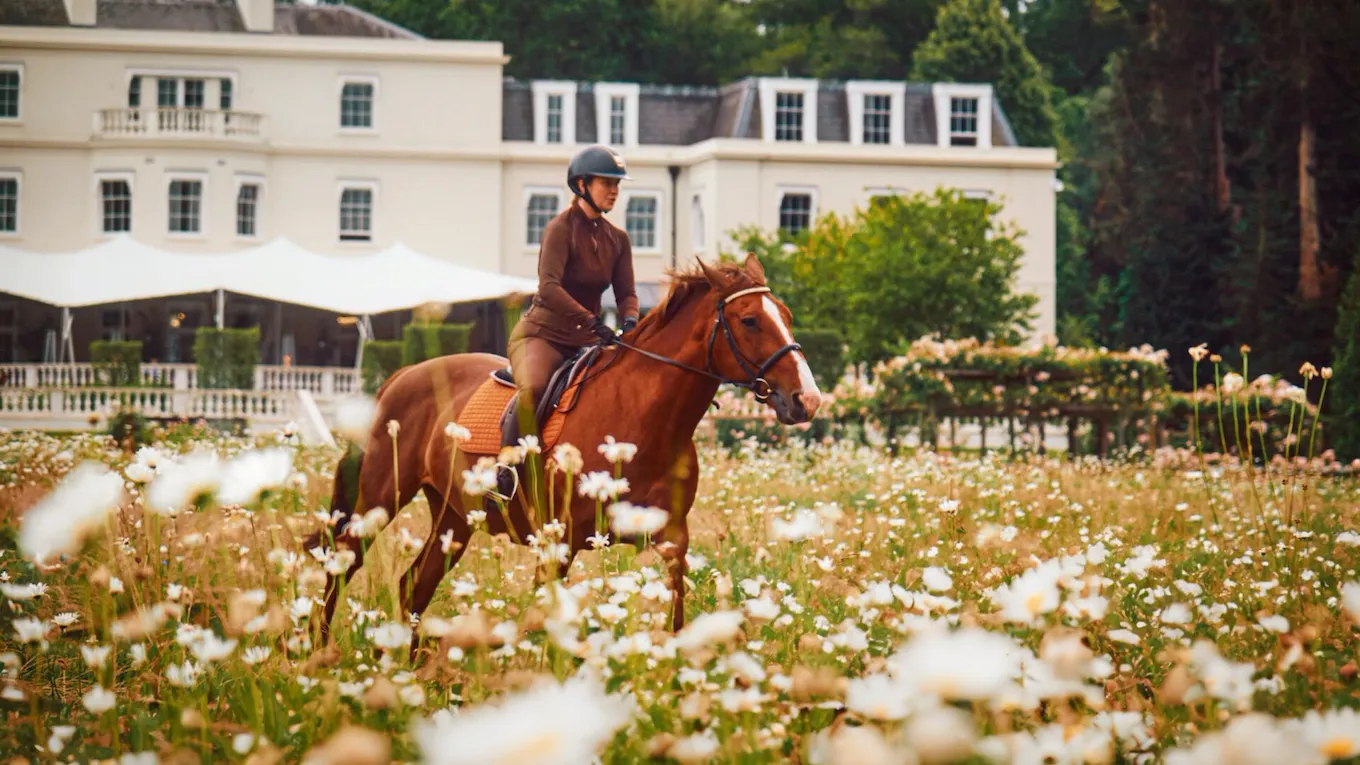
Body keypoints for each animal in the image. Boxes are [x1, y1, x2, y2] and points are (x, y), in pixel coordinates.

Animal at [305, 253, 823, 652]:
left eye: (787, 315)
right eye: (750, 320)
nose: (808, 400)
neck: (641, 419)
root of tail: (404, 374)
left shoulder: (671, 538)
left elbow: (675, 614)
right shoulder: (558, 542)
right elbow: (541, 618)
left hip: (455, 516)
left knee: (415, 585)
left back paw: (406, 666)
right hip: (380, 498)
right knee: (343, 561)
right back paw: (318, 650)